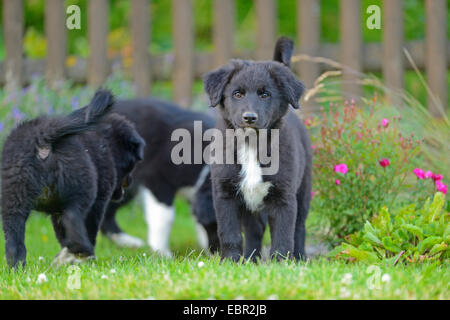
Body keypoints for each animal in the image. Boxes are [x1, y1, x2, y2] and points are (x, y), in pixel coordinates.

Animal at [0, 90, 144, 268]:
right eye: (133, 163)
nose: (130, 181)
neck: (107, 145)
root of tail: (42, 136)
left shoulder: (55, 211)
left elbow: (62, 235)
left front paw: (67, 257)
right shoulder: (99, 200)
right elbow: (88, 229)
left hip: (13, 197)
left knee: (14, 238)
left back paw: (17, 266)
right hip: (83, 186)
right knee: (72, 216)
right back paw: (83, 250)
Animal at [204, 37, 312, 262]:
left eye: (265, 95)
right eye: (237, 94)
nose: (249, 117)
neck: (251, 145)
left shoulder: (284, 197)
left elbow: (283, 236)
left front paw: (281, 264)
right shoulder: (225, 195)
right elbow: (230, 234)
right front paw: (230, 262)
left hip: (304, 191)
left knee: (299, 228)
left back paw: (299, 259)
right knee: (255, 230)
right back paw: (250, 260)